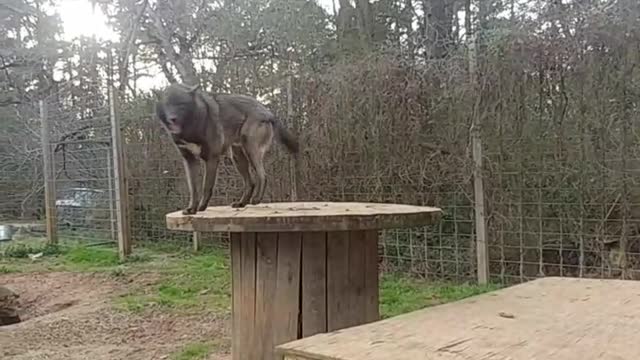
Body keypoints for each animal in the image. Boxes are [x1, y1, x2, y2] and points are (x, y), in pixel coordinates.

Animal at [154, 83, 298, 215]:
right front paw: (192, 208)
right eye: (167, 104)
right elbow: (193, 189)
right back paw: (241, 203)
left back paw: (256, 199)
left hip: (250, 151)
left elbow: (207, 186)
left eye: (181, 104)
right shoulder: (189, 161)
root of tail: (267, 111)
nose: (172, 119)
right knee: (250, 182)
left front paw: (201, 207)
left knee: (263, 175)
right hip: (237, 158)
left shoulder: (212, 158)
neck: (192, 125)